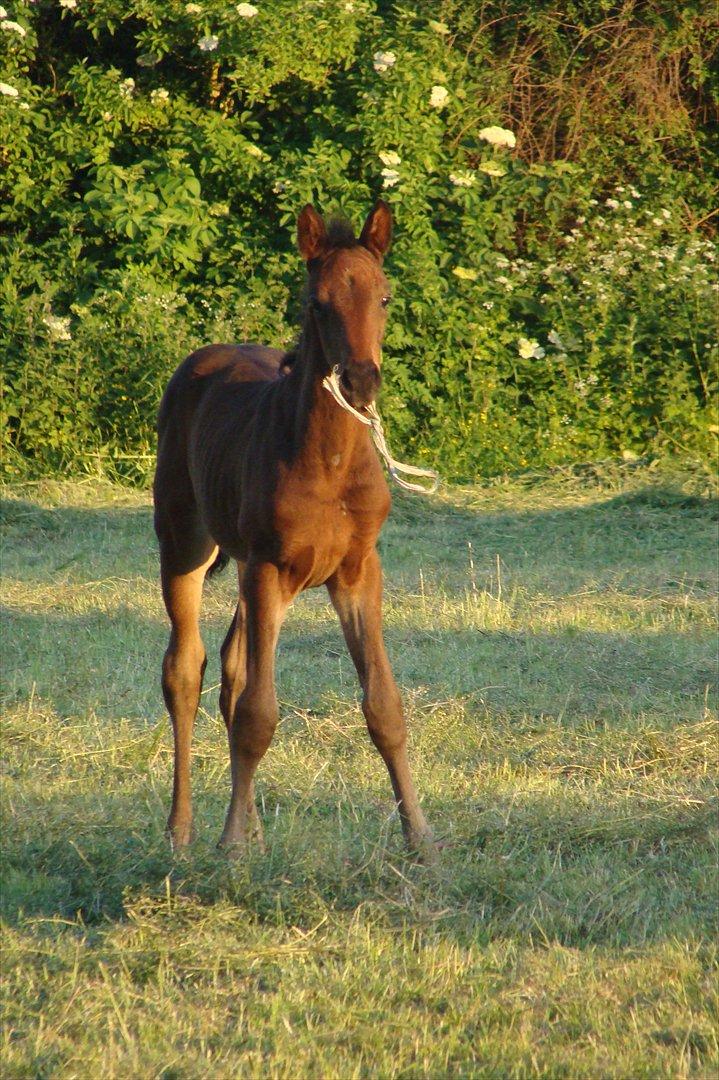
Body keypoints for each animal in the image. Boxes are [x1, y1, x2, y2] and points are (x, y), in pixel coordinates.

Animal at [152, 200, 431, 859]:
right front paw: (230, 845)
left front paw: (422, 839)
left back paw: (250, 823)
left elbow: (385, 707)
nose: (360, 381)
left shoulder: (357, 571)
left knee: (231, 672)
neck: (328, 463)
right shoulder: (268, 567)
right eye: (318, 302)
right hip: (186, 544)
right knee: (186, 670)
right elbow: (259, 714)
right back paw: (182, 830)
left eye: (384, 297)